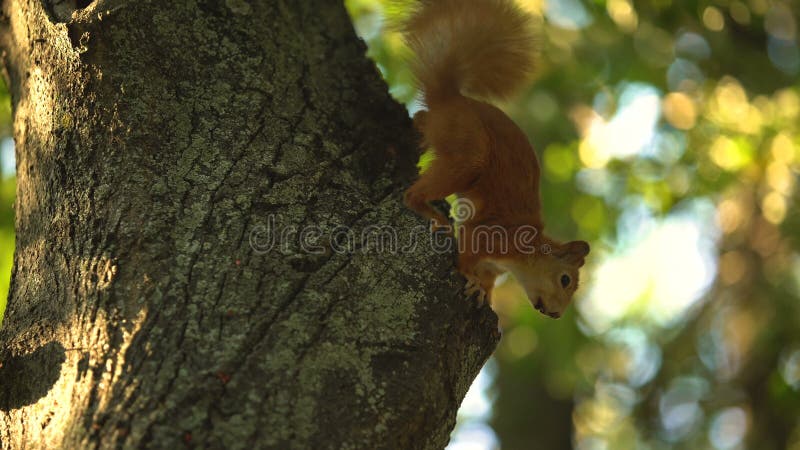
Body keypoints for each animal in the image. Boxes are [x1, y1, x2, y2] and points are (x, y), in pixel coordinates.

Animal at [404, 0, 592, 320]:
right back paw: (432, 214)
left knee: (423, 118)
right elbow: (467, 255)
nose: (555, 314)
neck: (524, 255)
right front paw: (470, 280)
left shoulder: (493, 265)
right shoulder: (490, 235)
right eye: (565, 279)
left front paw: (486, 294)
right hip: (470, 149)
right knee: (411, 194)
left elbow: (488, 280)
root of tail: (451, 98)